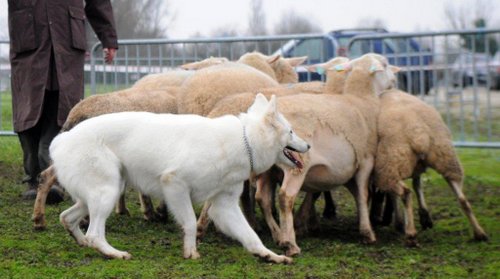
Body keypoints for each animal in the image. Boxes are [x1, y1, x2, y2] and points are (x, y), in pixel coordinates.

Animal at [50, 94, 308, 264]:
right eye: (292, 131)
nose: (309, 146)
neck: (244, 140)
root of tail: (63, 139)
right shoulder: (175, 184)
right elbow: (191, 223)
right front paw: (191, 252)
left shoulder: (224, 206)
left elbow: (251, 236)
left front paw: (270, 255)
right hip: (108, 192)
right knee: (94, 233)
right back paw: (113, 253)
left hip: (101, 194)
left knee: (67, 218)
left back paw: (82, 242)